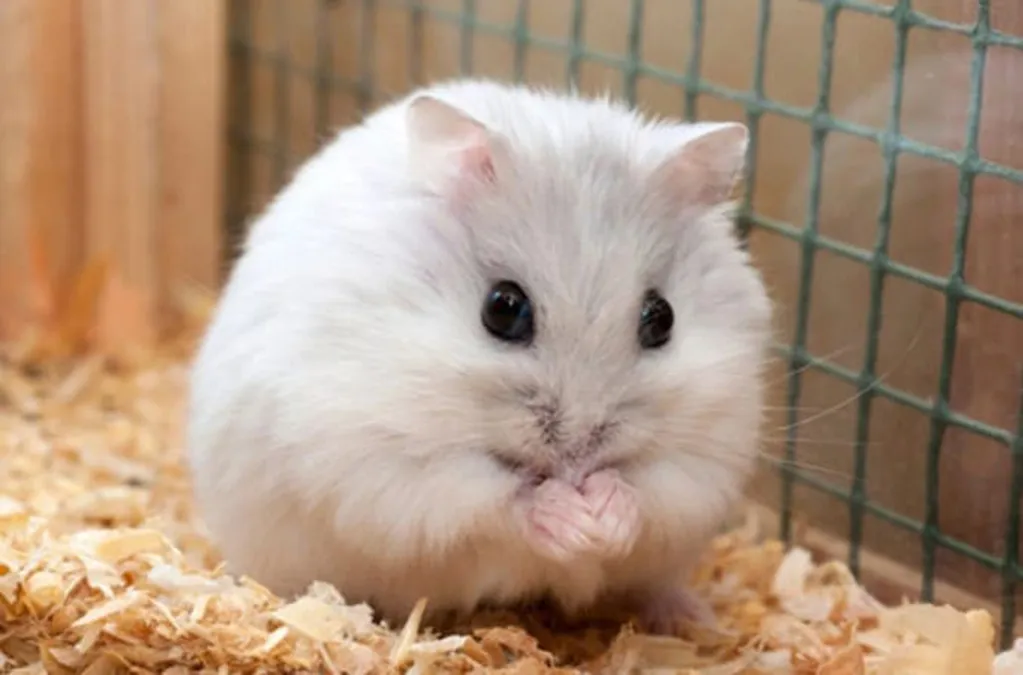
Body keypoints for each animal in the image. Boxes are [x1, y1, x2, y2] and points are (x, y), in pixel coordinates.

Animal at [185, 78, 773, 632]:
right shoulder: (385, 462)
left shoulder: (708, 456)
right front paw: (571, 519)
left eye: (662, 318)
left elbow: (653, 491)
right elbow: (491, 501)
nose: (579, 458)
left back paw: (694, 619)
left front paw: (604, 516)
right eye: (503, 309)